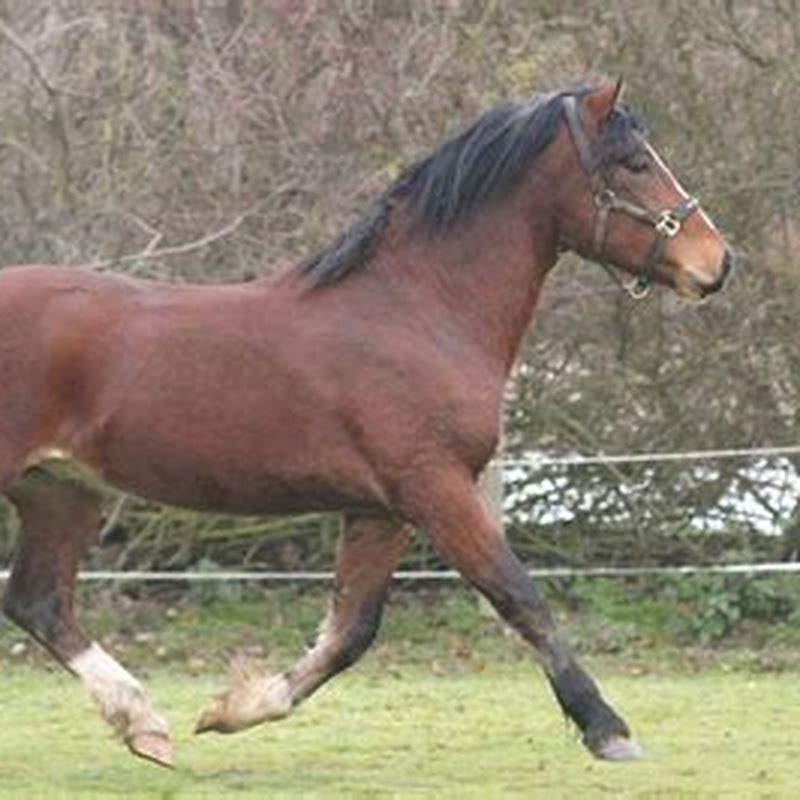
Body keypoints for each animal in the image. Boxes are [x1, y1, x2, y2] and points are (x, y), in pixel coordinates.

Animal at [0, 79, 731, 768]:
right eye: (635, 163)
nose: (718, 261)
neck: (417, 309)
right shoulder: (435, 488)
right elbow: (519, 597)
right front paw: (607, 729)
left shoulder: (380, 509)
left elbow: (351, 631)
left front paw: (236, 708)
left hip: (60, 490)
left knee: (38, 600)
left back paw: (144, 724)